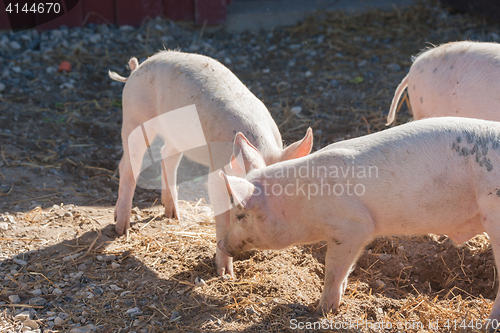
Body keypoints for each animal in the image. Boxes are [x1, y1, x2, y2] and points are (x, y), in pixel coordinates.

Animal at [109, 50, 312, 276]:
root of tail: (137, 69)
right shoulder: (216, 173)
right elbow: (222, 217)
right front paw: (225, 274)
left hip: (177, 135)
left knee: (167, 155)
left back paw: (174, 215)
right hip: (134, 117)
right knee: (128, 165)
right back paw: (121, 228)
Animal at [220, 116, 500, 324]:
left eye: (240, 215)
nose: (223, 244)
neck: (300, 204)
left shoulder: (352, 227)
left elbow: (333, 269)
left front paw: (321, 311)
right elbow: (345, 271)